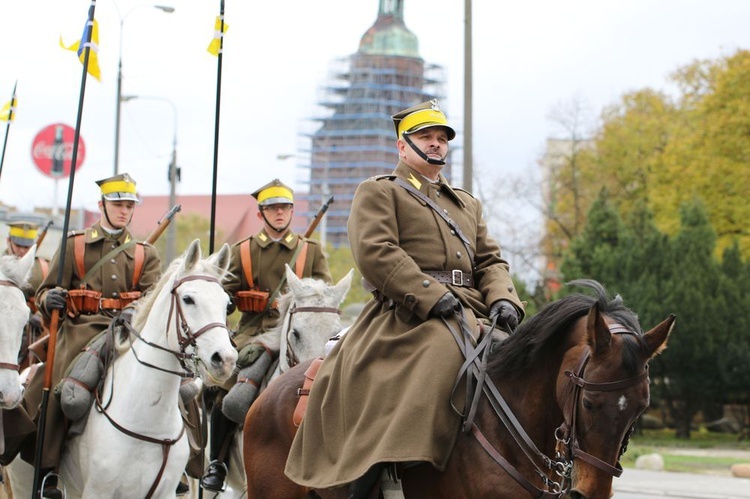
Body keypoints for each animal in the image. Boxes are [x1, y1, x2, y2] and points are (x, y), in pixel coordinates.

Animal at [7, 240, 238, 498]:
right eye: (188, 299)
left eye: (227, 303)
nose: (225, 359)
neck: (148, 422)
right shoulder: (98, 492)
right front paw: (53, 298)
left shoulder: (166, 492)